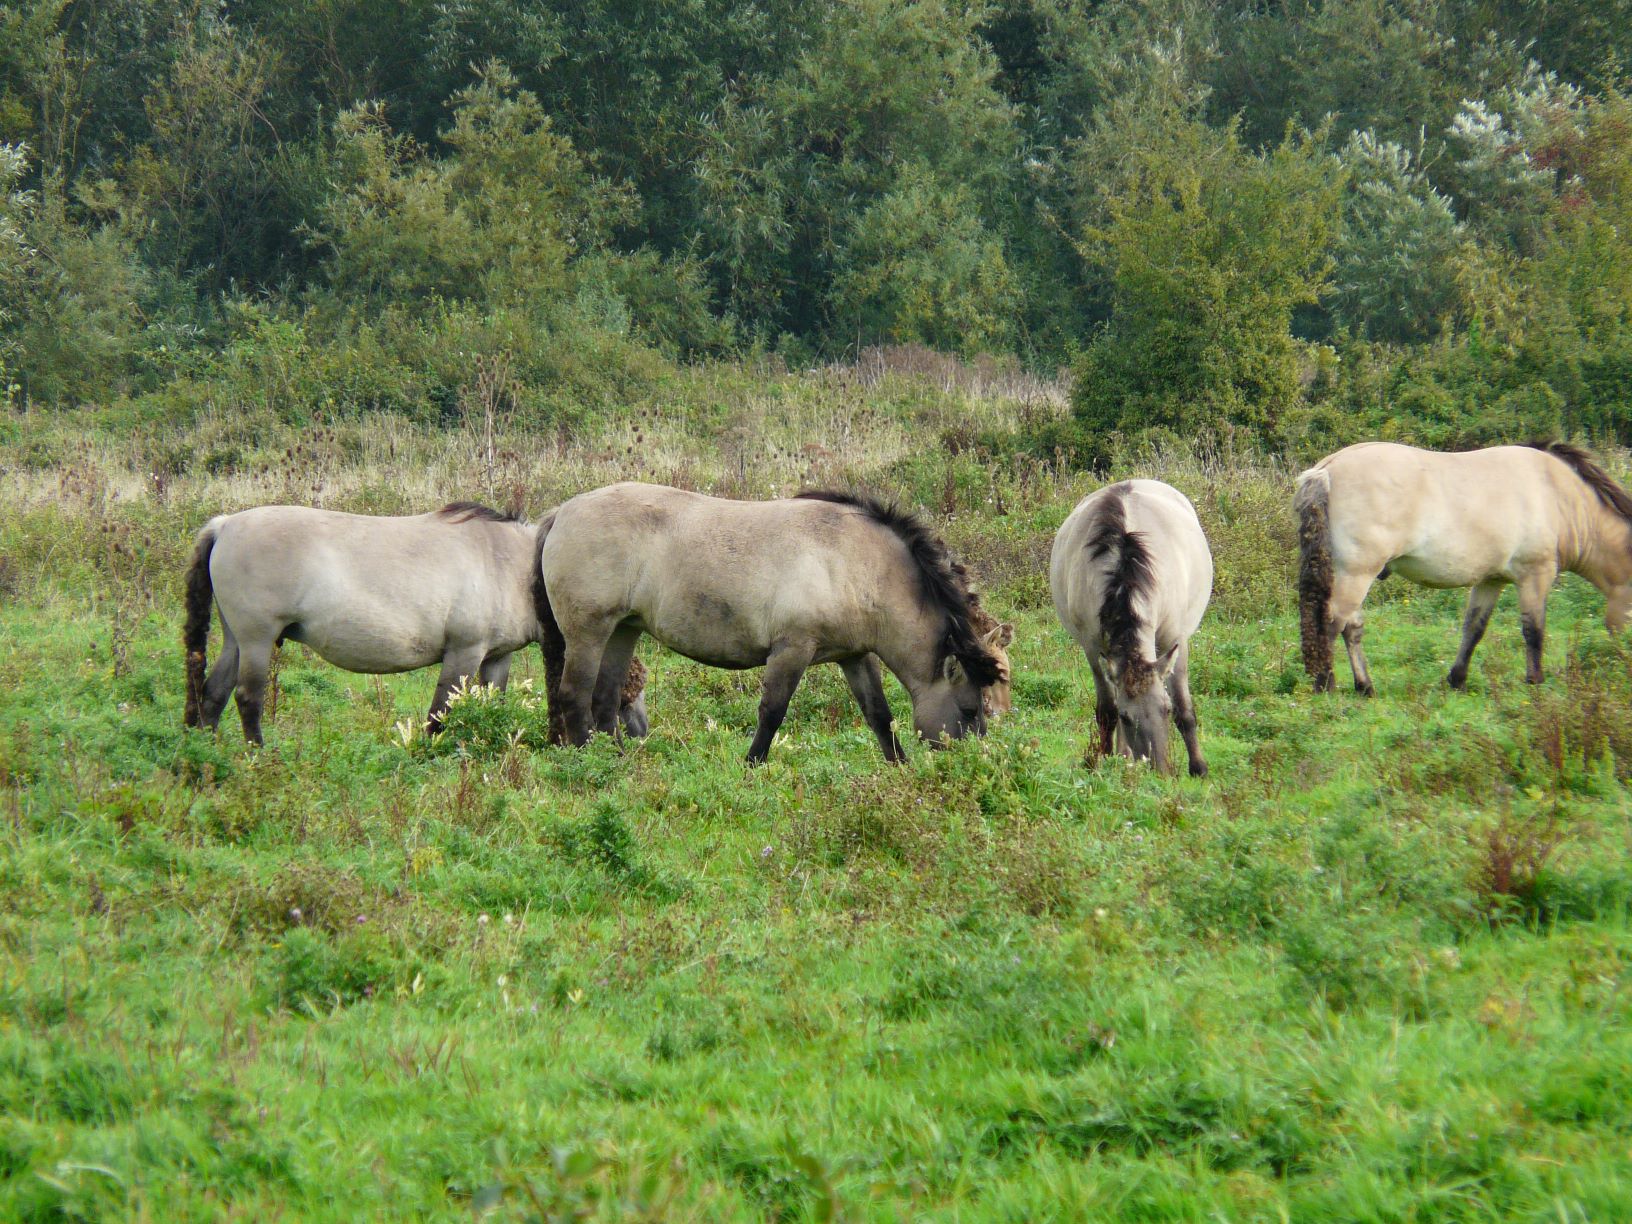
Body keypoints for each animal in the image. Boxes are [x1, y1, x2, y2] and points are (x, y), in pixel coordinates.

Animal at [186, 499, 649, 747]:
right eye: (629, 691)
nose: (642, 733)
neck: (512, 564)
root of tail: (224, 525)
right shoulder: (463, 653)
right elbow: (439, 713)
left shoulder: (495, 658)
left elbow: (490, 706)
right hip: (257, 640)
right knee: (247, 697)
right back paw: (259, 755)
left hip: (237, 641)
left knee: (214, 693)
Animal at [535, 483, 998, 763]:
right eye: (970, 709)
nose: (971, 765)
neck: (852, 561)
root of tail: (561, 512)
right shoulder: (792, 649)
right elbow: (773, 712)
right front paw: (751, 767)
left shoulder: (854, 655)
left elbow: (878, 714)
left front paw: (898, 766)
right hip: (588, 633)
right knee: (575, 696)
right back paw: (589, 765)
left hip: (623, 631)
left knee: (605, 700)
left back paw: (617, 761)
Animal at [1057, 479, 1214, 776]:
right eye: (1127, 717)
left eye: (1165, 710)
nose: (1161, 771)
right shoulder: (1093, 648)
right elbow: (1107, 710)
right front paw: (1107, 760)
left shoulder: (1174, 639)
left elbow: (1185, 708)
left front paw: (1198, 767)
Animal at [1299, 440, 1632, 695]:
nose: (1625, 662)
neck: (1556, 495)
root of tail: (1328, 468)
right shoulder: (1535, 576)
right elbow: (1533, 630)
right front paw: (1535, 681)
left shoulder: (1491, 580)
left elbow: (1474, 629)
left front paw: (1456, 680)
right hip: (1356, 575)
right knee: (1330, 625)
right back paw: (1325, 686)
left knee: (1351, 629)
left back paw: (1365, 687)